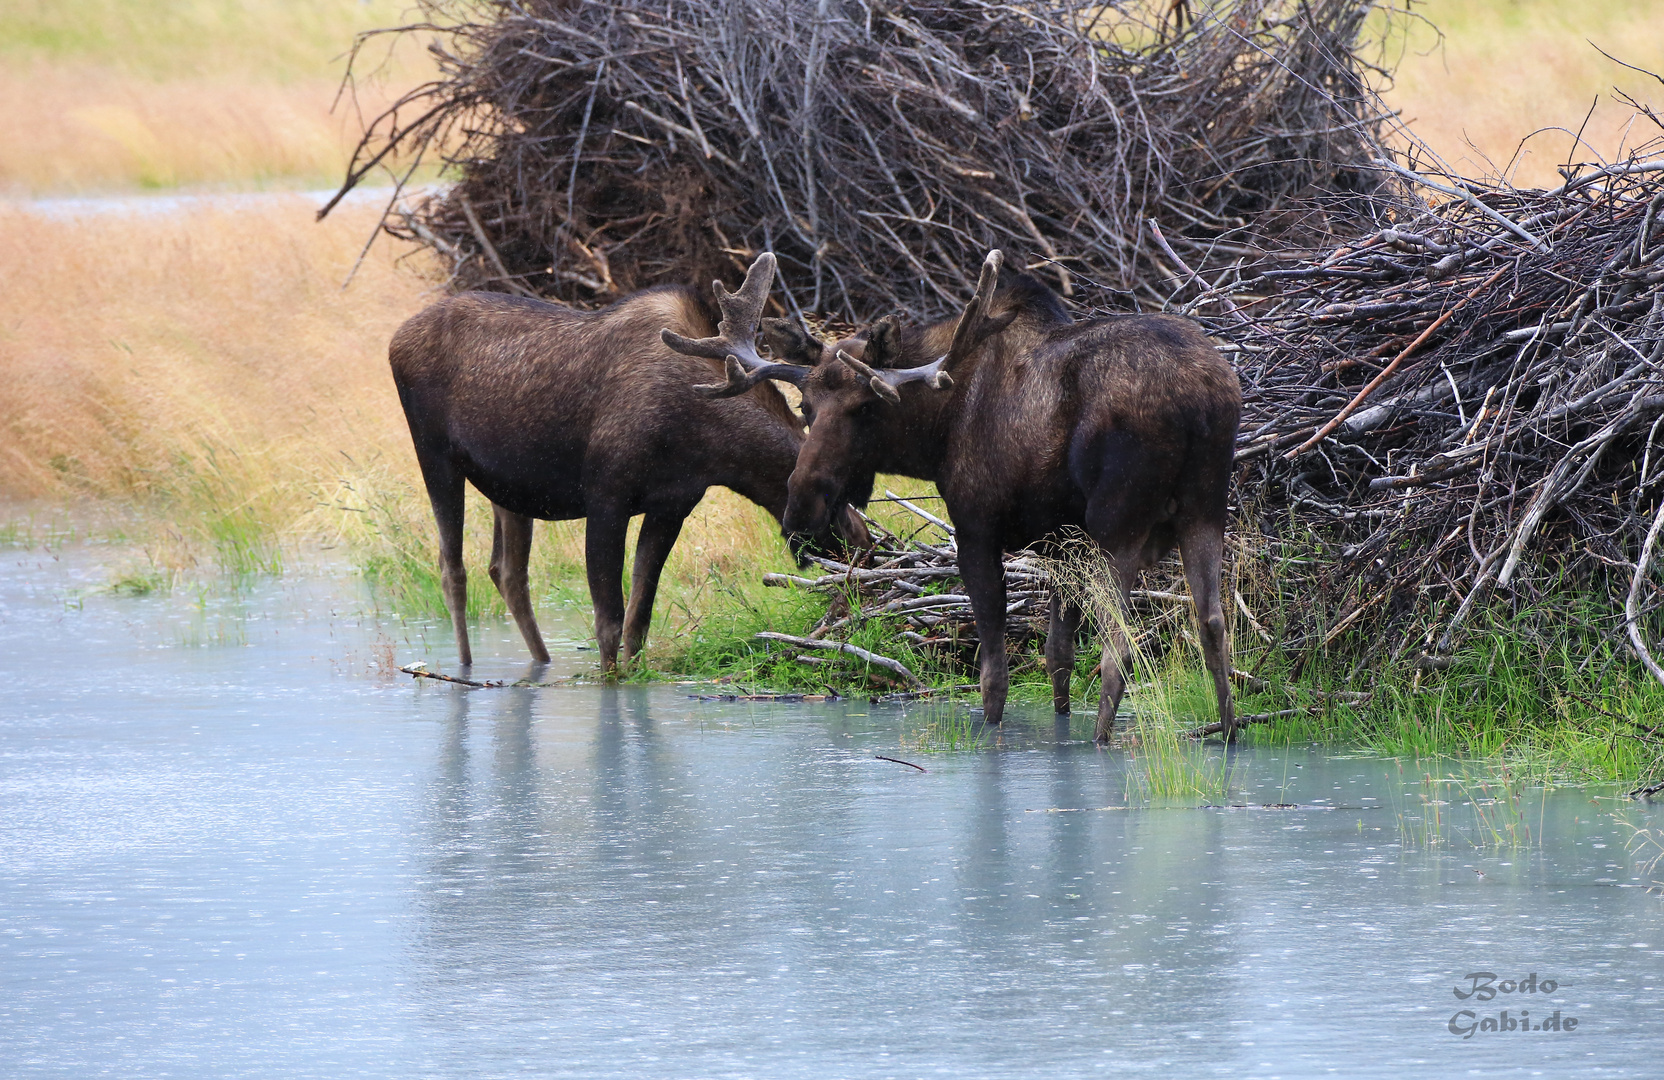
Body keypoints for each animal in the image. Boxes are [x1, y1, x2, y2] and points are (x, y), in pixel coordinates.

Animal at [387, 254, 858, 672]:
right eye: (837, 503)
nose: (865, 547)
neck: (708, 441)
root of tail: (396, 339)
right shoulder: (606, 499)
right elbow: (608, 621)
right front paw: (610, 683)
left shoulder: (671, 506)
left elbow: (639, 618)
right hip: (434, 454)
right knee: (452, 569)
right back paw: (465, 667)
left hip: (510, 488)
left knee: (507, 572)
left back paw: (541, 661)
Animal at [668, 251, 1244, 742]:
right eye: (806, 406)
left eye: (867, 407)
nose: (803, 506)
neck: (935, 432)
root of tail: (1198, 399)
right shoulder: (1062, 543)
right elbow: (1057, 656)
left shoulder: (978, 528)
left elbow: (995, 674)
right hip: (1206, 510)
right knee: (1213, 624)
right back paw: (1229, 735)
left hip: (1118, 524)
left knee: (1119, 645)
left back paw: (1103, 742)